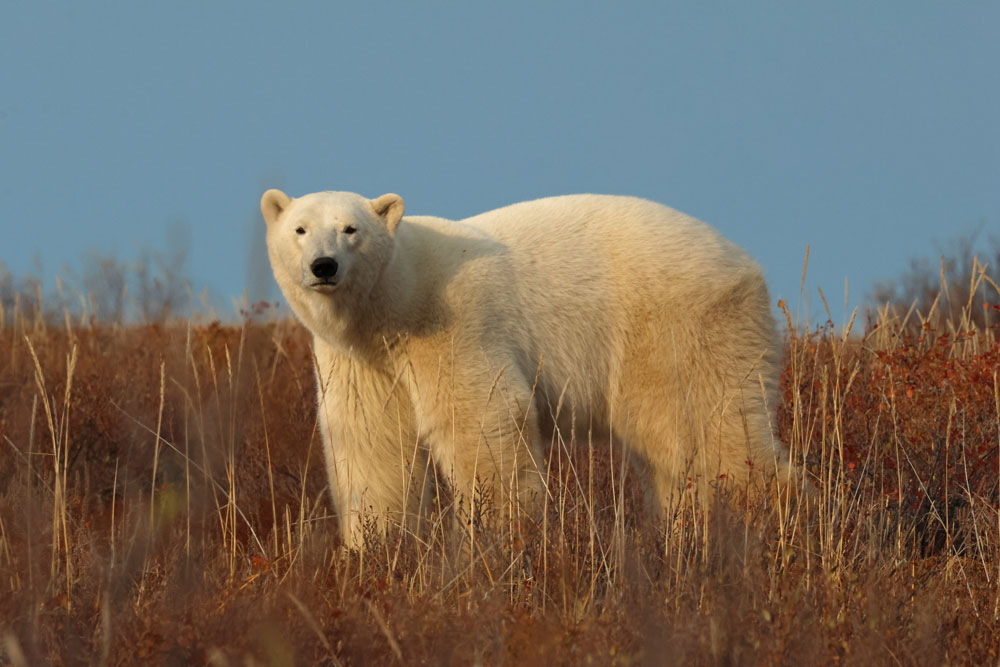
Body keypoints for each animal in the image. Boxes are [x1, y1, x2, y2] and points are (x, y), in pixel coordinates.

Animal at [262, 187, 792, 544]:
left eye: (350, 229)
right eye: (300, 229)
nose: (324, 266)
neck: (396, 301)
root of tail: (746, 263)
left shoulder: (455, 325)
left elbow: (482, 420)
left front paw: (497, 536)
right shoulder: (361, 361)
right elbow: (369, 444)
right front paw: (376, 548)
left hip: (679, 327)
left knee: (710, 429)